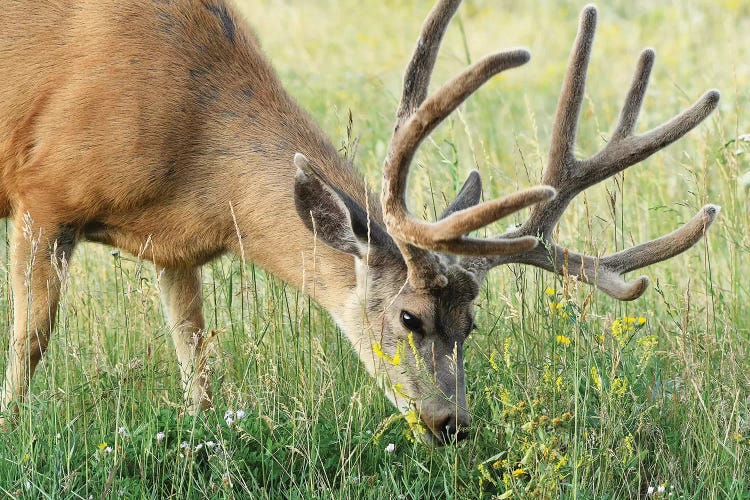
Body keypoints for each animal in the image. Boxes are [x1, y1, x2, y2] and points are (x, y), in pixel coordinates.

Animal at [0, 0, 724, 446]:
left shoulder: (175, 249)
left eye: (472, 324)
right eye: (409, 317)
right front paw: (12, 429)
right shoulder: (42, 195)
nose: (451, 423)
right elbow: (29, 339)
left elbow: (197, 362)